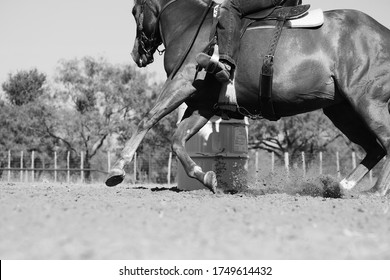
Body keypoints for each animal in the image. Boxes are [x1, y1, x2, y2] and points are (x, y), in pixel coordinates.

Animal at [105, 0, 390, 197]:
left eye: (134, 11)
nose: (136, 54)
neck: (191, 26)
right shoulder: (201, 105)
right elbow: (177, 140)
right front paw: (206, 177)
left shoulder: (181, 84)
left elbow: (148, 118)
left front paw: (117, 168)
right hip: (342, 111)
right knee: (375, 148)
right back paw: (342, 186)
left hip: (366, 102)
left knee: (385, 142)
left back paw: (375, 191)